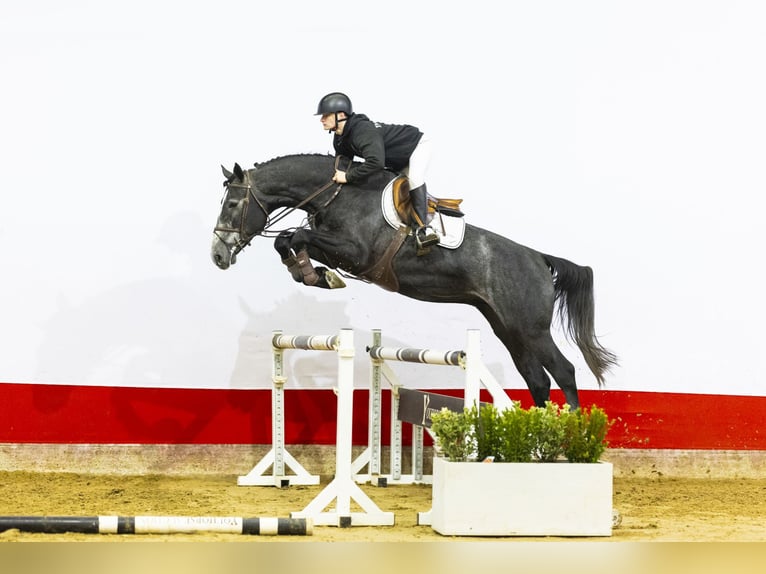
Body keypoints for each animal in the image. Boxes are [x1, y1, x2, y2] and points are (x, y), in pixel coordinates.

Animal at [210, 154, 616, 410]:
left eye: (231, 204)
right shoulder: (335, 248)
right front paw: (313, 275)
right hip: (508, 329)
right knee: (537, 380)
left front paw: (317, 276)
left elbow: (295, 236)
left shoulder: (356, 252)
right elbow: (288, 239)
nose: (217, 255)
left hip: (531, 329)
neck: (338, 193)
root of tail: (539, 258)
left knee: (563, 371)